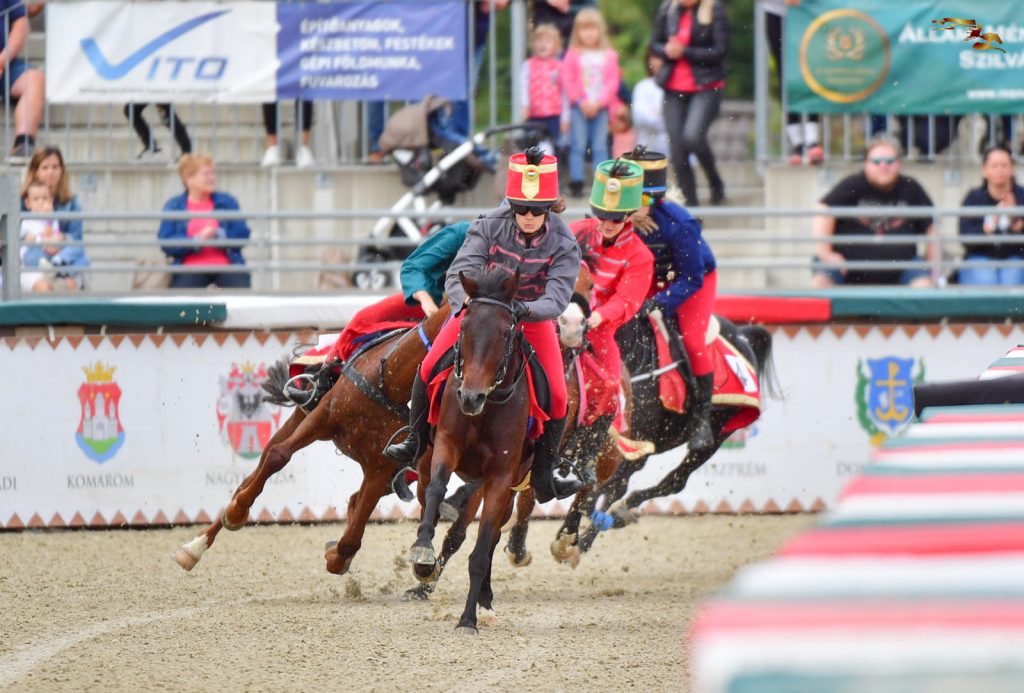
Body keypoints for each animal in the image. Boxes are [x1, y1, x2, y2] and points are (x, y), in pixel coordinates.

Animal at [174, 305, 450, 577]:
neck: (390, 382)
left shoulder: (382, 465)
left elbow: (353, 536)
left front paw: (337, 555)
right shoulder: (322, 417)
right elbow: (279, 456)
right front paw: (235, 513)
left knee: (361, 500)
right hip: (299, 416)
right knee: (252, 475)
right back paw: (197, 544)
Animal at [405, 268, 540, 634]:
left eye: (507, 332)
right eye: (463, 326)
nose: (470, 397)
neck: (487, 410)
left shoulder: (500, 477)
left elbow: (482, 550)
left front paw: (468, 619)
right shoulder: (447, 445)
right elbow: (437, 490)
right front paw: (422, 553)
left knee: (491, 536)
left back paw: (485, 598)